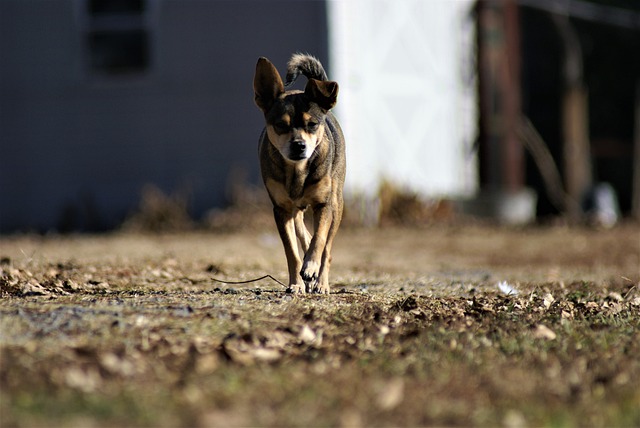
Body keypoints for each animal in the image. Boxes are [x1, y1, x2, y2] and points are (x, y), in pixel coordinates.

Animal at [254, 52, 344, 294]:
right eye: (280, 125)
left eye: (312, 124)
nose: (298, 145)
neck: (297, 171)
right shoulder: (281, 209)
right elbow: (292, 252)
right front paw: (296, 283)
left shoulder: (324, 204)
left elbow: (320, 240)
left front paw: (311, 267)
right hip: (295, 208)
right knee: (303, 230)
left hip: (337, 203)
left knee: (327, 248)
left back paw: (320, 282)